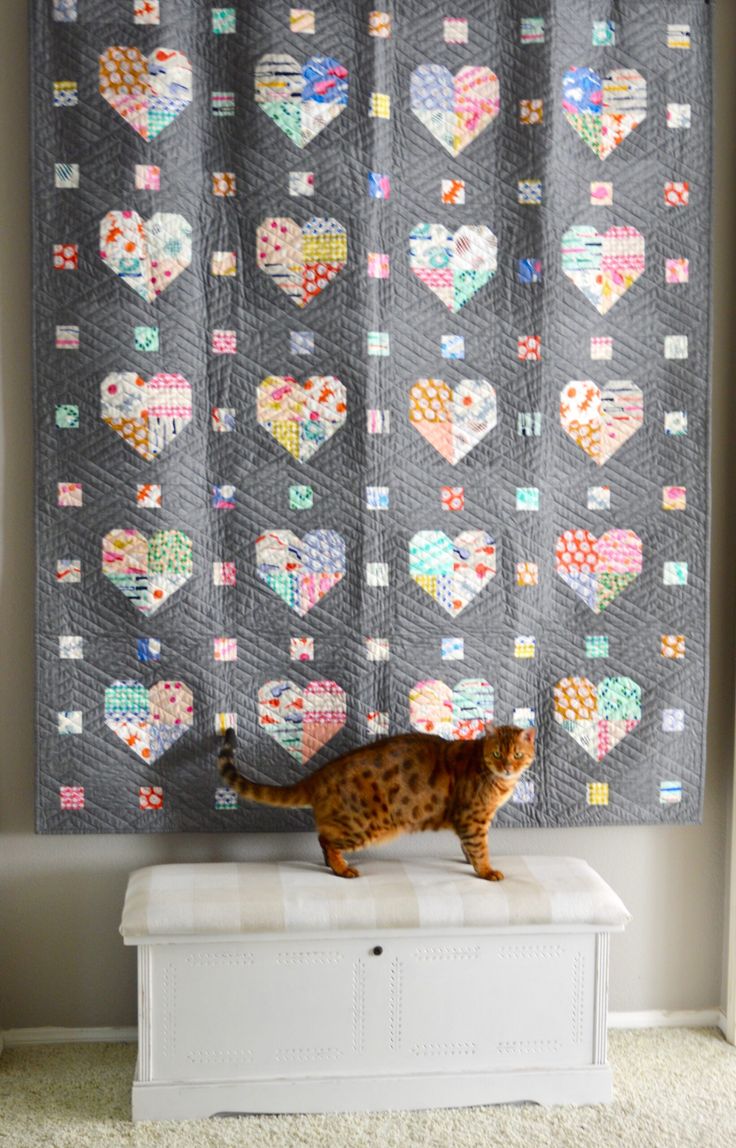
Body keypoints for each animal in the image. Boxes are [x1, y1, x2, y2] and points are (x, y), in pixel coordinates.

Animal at [217, 725, 532, 877]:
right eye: (496, 754)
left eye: (517, 754)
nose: (507, 767)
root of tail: (320, 774)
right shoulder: (473, 819)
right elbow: (479, 849)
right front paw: (486, 871)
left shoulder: (469, 822)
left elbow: (468, 848)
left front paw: (471, 862)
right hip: (366, 825)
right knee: (325, 839)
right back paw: (342, 868)